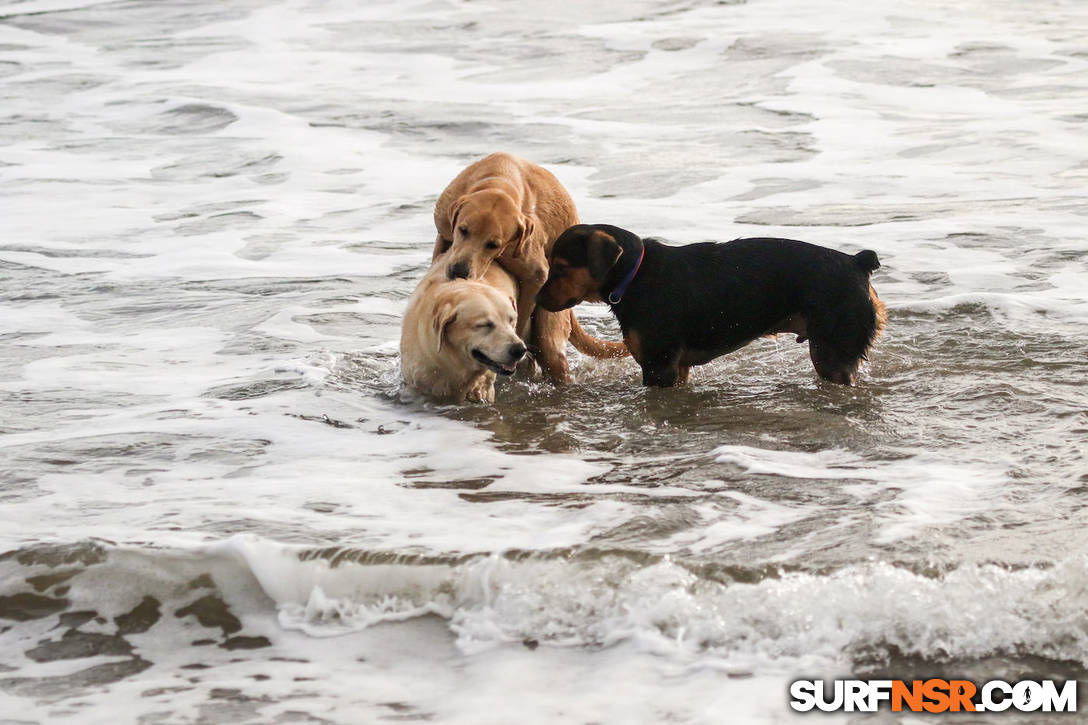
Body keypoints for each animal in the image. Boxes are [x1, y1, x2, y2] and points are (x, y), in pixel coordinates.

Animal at [430, 150, 626, 381]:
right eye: (463, 230)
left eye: (493, 245)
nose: (459, 271)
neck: (499, 178)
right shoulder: (444, 228)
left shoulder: (536, 272)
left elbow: (522, 311)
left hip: (551, 324)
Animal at [535, 224, 883, 383]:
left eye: (561, 267)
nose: (537, 296)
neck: (634, 276)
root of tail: (857, 263)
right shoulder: (678, 368)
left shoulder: (658, 366)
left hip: (833, 352)